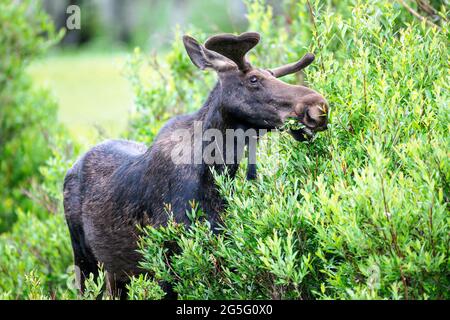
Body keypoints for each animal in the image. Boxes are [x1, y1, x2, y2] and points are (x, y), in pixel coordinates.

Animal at [63, 31, 328, 298]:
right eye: (254, 79)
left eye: (274, 75)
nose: (318, 106)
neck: (214, 172)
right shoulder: (167, 257)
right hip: (85, 262)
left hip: (118, 273)